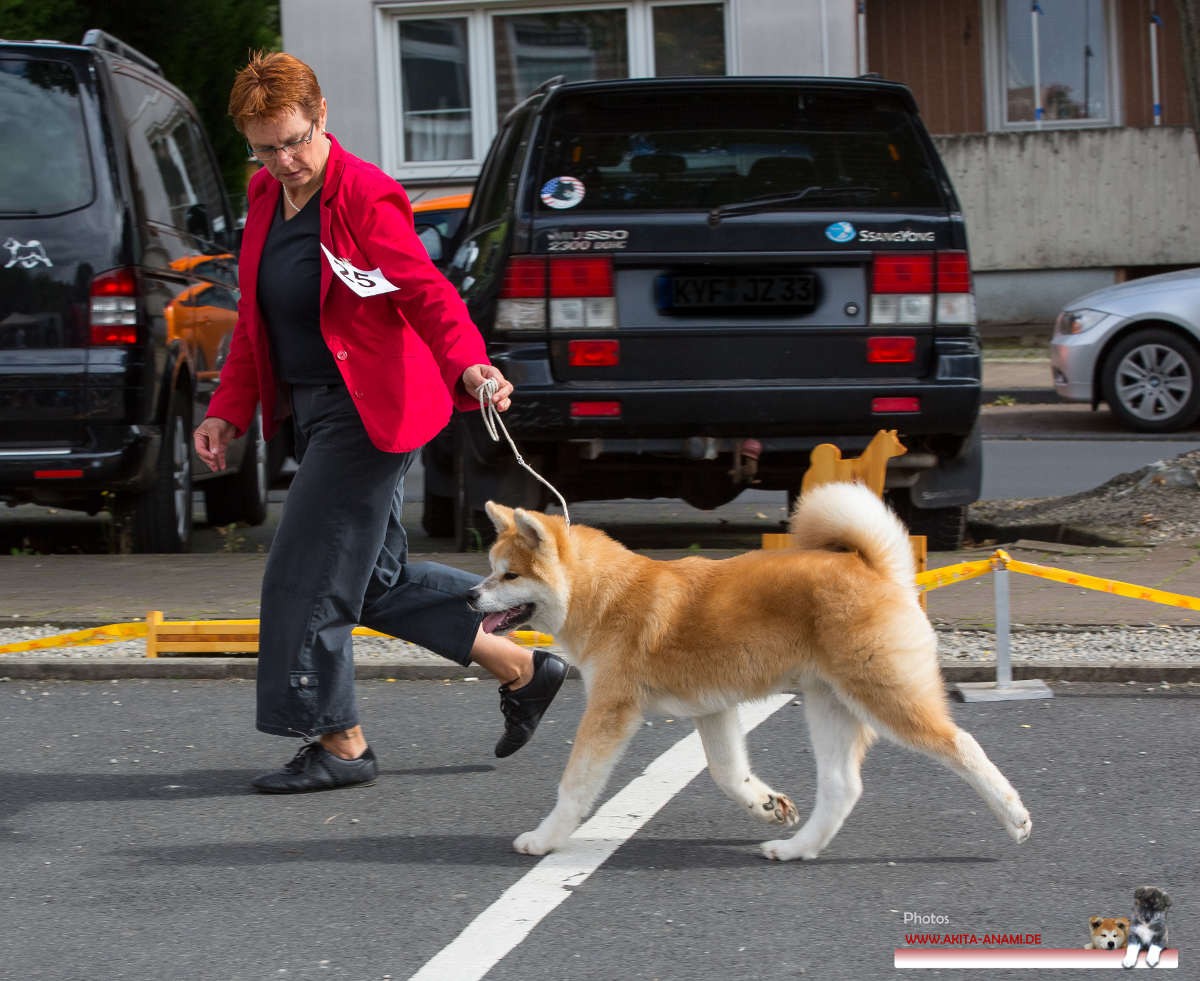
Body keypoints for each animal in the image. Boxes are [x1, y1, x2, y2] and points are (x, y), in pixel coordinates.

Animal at [469, 481, 1032, 860]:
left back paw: (1014, 817)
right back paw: (797, 847)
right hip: (829, 705)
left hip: (885, 696)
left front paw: (545, 838)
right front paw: (766, 804)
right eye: (491, 570)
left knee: (962, 746)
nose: (471, 595)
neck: (606, 594)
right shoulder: (712, 710)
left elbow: (575, 785)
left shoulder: (611, 709)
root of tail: (875, 568)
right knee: (842, 787)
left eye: (509, 575)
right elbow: (727, 773)